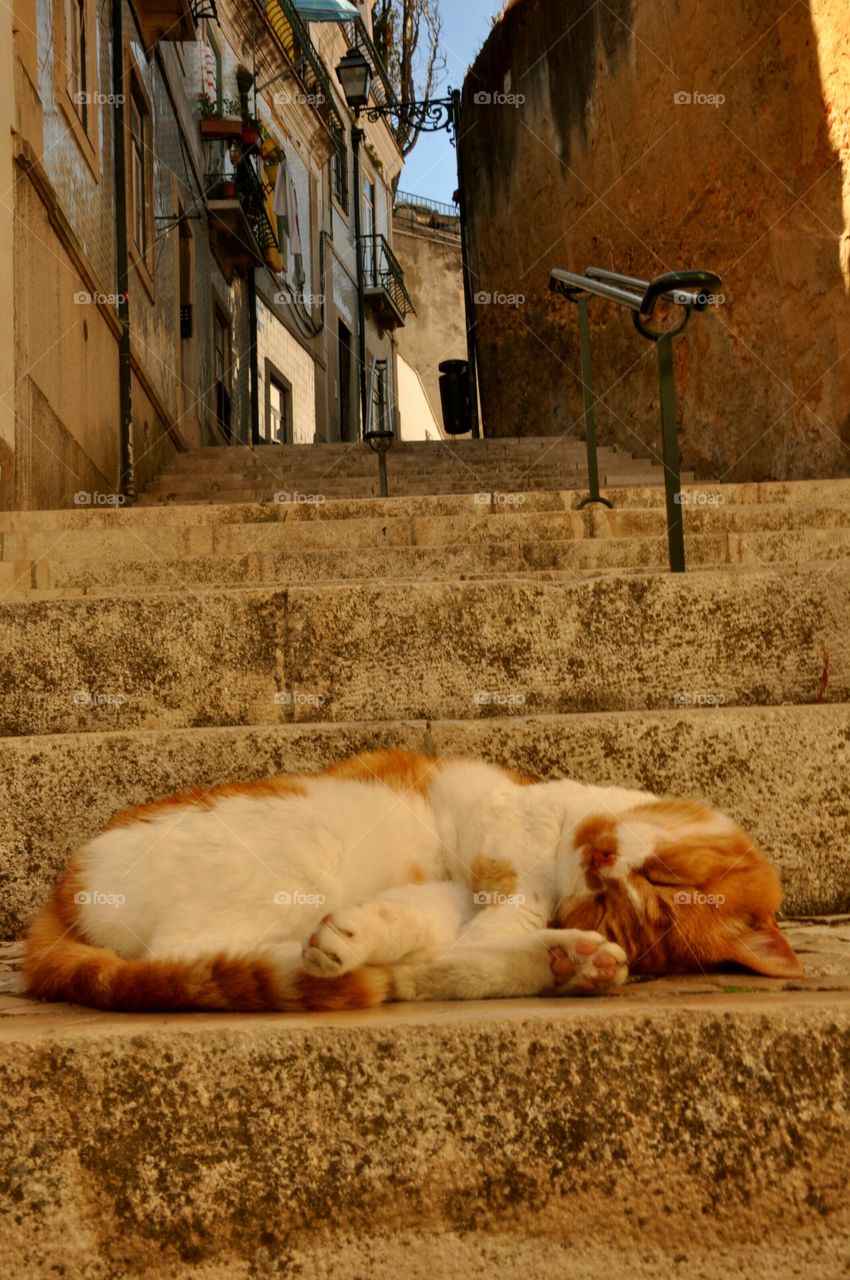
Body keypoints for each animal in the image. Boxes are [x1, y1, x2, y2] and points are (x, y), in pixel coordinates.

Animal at [23, 747, 798, 1013]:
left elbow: (452, 931)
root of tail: (59, 891)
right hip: (293, 858)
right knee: (182, 955)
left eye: (626, 911)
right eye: (667, 879)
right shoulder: (504, 815)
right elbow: (512, 873)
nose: (601, 864)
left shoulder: (451, 898)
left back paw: (566, 963)